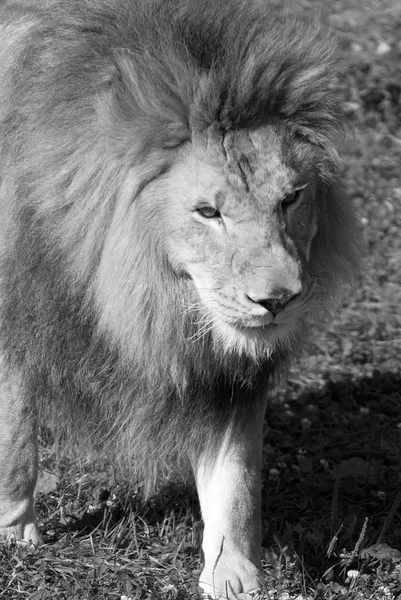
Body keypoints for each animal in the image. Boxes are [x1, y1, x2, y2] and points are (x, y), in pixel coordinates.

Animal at [0, 1, 360, 596]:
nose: (278, 300)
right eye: (208, 212)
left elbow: (236, 480)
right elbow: (12, 439)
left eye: (291, 198)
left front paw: (234, 577)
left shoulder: (229, 375)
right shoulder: (17, 315)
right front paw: (13, 538)